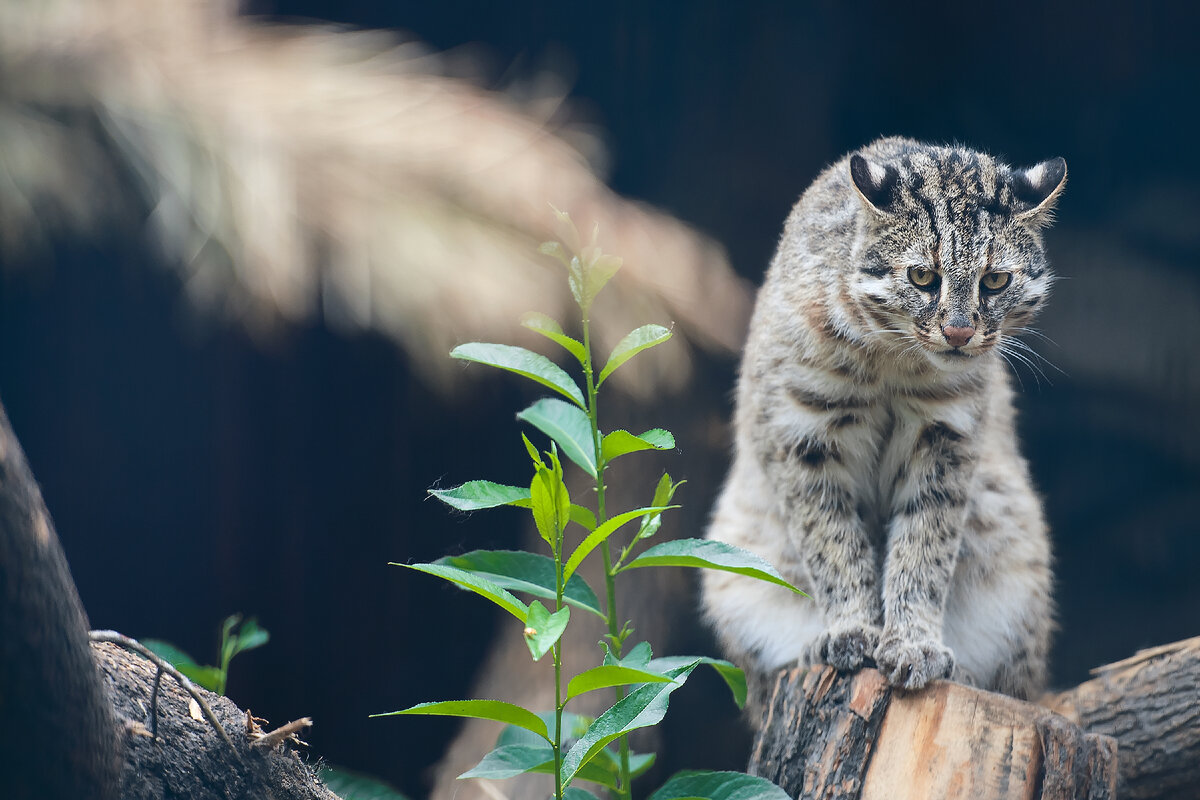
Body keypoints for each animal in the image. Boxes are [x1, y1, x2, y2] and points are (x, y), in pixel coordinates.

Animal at [700, 137, 1070, 705]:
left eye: (995, 280)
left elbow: (925, 545)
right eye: (922, 276)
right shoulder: (799, 436)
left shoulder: (948, 441)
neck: (893, 359)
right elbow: (832, 542)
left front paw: (913, 644)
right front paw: (852, 631)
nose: (959, 334)